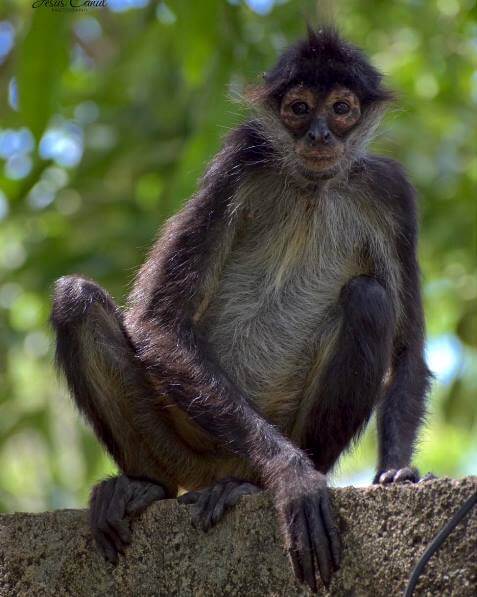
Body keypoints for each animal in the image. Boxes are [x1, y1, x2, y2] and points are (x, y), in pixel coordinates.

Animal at [50, 28, 430, 592]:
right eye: (299, 108)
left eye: (341, 109)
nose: (320, 135)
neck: (311, 185)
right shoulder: (241, 158)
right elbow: (159, 322)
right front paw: (291, 475)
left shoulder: (388, 190)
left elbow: (408, 350)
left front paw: (397, 472)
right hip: (179, 440)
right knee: (75, 299)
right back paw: (147, 485)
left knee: (369, 299)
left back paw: (246, 488)